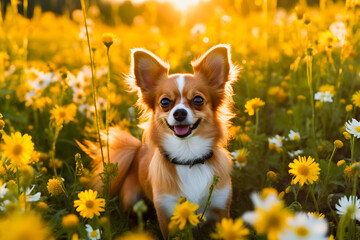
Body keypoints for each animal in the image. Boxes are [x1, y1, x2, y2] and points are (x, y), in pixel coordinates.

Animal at [78, 44, 238, 237]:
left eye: (198, 100)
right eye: (165, 102)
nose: (179, 113)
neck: (188, 158)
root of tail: (138, 150)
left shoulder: (221, 208)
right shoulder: (167, 214)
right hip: (132, 198)